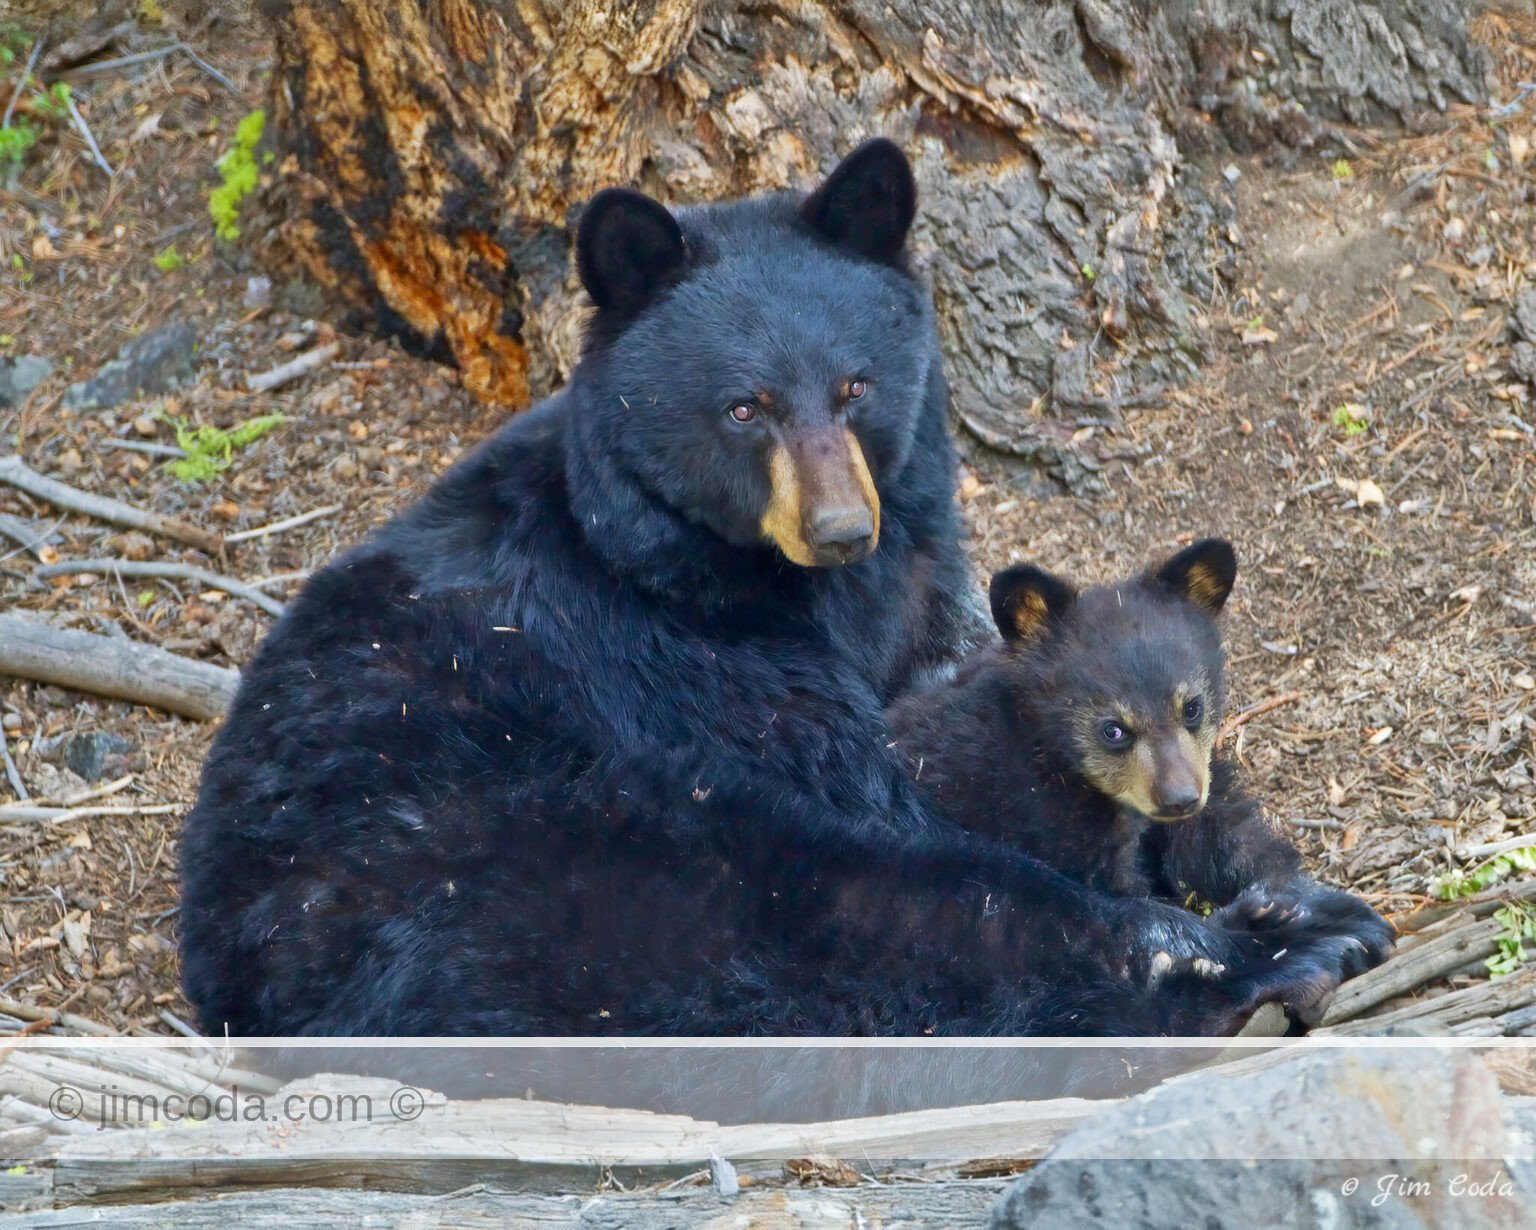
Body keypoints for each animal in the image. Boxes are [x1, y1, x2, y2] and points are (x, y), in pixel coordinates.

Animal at [885, 538, 1394, 1021]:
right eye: (1113, 729)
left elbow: (1220, 839)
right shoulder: (1034, 808)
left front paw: (1321, 902)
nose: (1179, 798)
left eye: (1192, 707)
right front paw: (1287, 926)